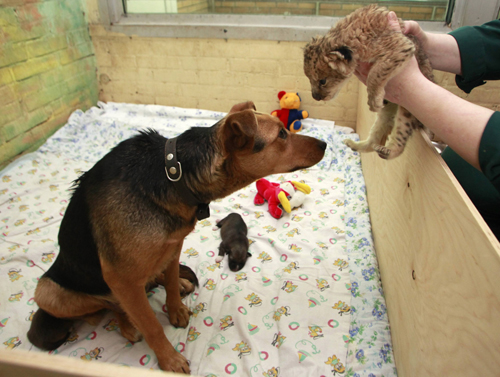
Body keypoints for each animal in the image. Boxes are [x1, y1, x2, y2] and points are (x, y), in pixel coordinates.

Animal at [27, 100, 326, 374]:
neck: (175, 173)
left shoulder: (174, 244)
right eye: (282, 135)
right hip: (48, 291)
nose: (324, 144)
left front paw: (176, 308)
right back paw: (127, 323)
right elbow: (151, 324)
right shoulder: (119, 277)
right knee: (110, 305)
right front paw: (169, 359)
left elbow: (169, 281)